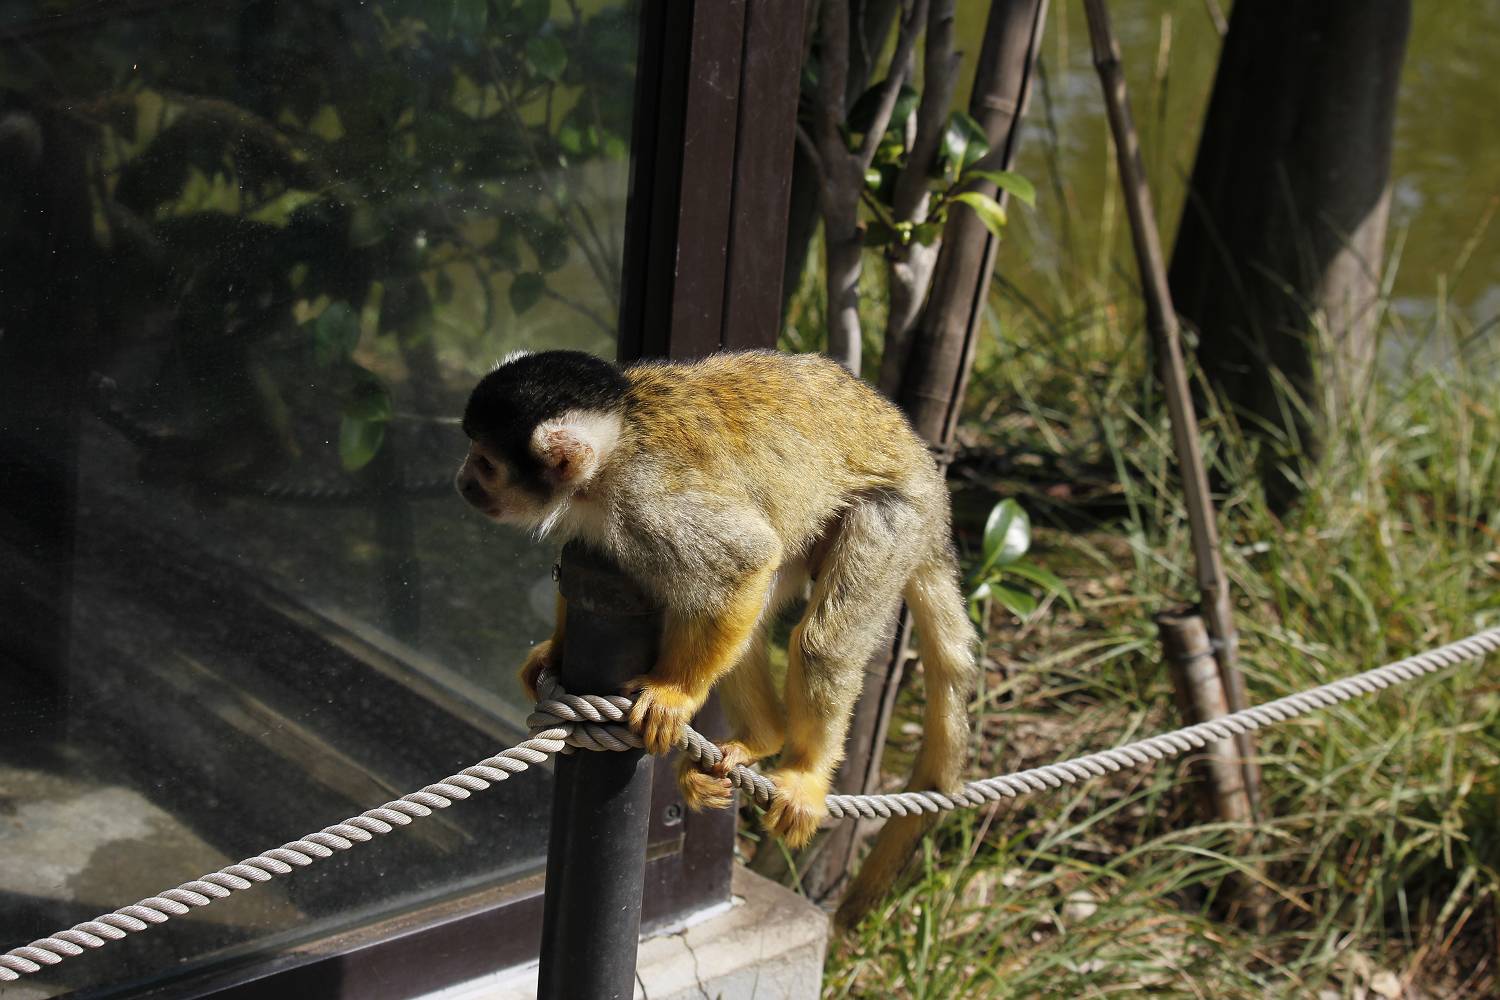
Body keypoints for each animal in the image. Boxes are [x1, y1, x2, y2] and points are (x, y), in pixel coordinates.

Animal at [454, 349, 977, 928]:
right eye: (472, 453)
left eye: (486, 464)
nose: (462, 481)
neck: (614, 449)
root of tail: (928, 472)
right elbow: (589, 564)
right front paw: (555, 652)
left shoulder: (648, 503)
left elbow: (745, 561)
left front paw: (676, 695)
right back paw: (762, 739)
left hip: (897, 516)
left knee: (820, 641)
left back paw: (805, 772)